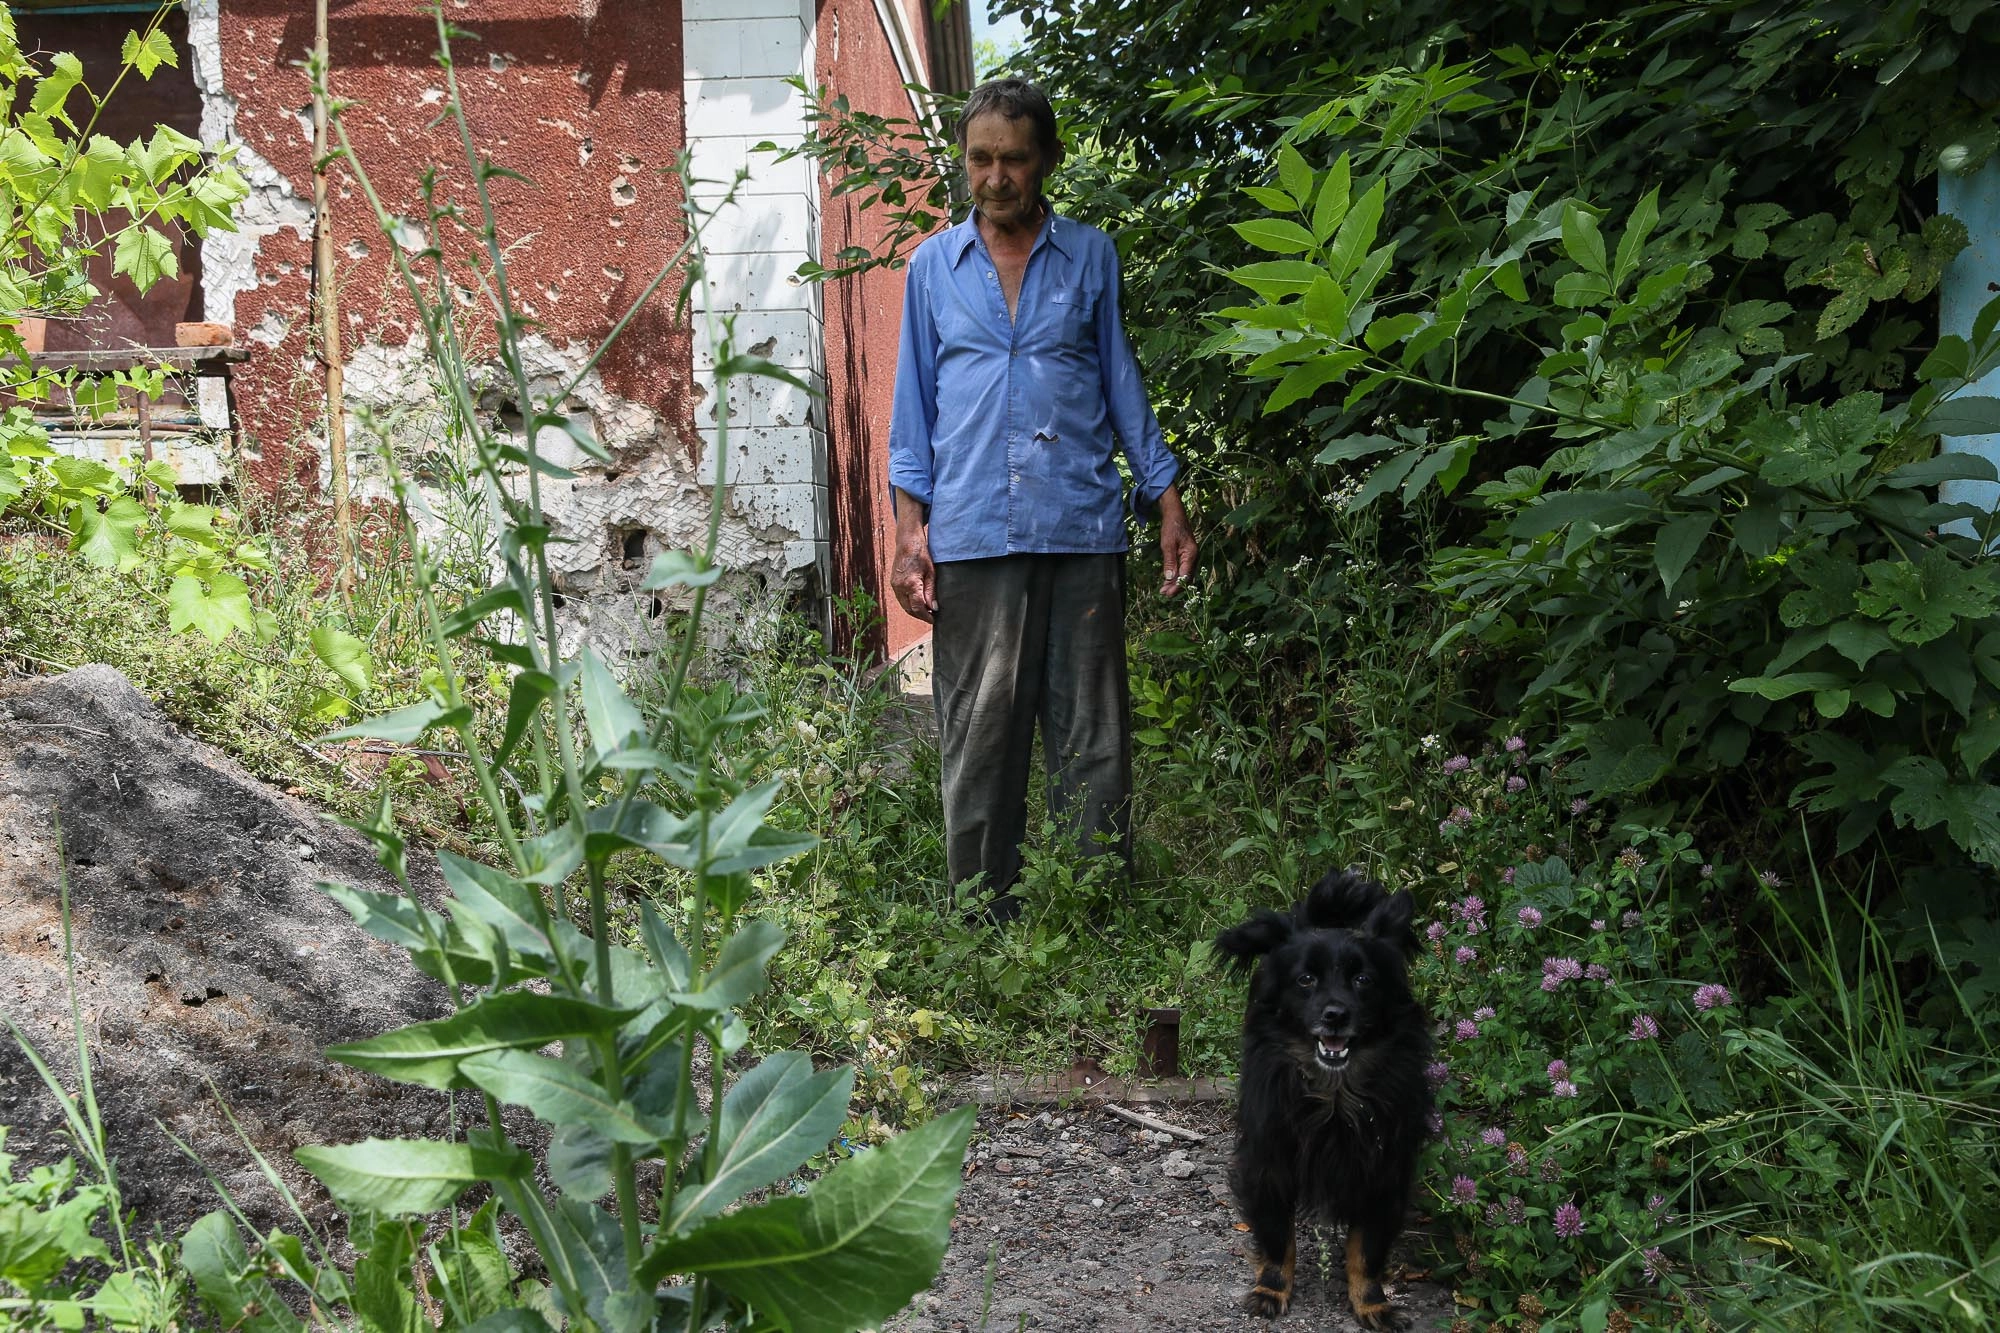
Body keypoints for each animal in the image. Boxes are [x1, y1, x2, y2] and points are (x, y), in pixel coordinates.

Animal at [1208, 868, 1432, 1320]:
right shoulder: (1269, 1163)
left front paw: (1372, 1303)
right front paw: (1272, 1289)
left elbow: (1367, 1249)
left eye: (1363, 980)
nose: (1335, 1014)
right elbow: (1278, 1237)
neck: (1334, 1094)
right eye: (1305, 980)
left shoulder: (1384, 1172)